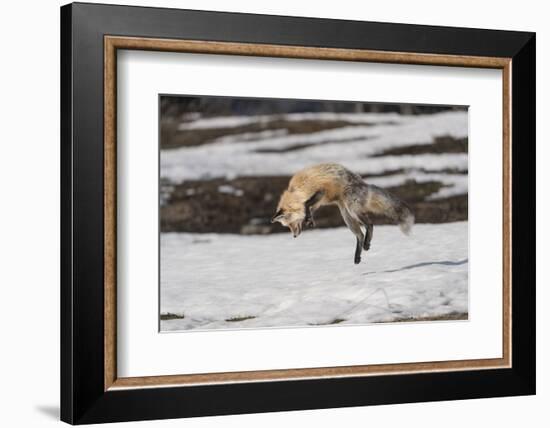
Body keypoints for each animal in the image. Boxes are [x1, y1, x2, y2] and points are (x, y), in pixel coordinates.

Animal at [272, 163, 414, 264]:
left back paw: (366, 243)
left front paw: (308, 217)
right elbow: (310, 208)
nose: (294, 236)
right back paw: (358, 256)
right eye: (287, 226)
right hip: (346, 216)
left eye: (290, 224)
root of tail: (364, 184)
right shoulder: (318, 202)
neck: (296, 192)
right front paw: (309, 219)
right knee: (360, 235)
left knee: (370, 224)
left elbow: (307, 204)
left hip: (352, 209)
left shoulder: (321, 191)